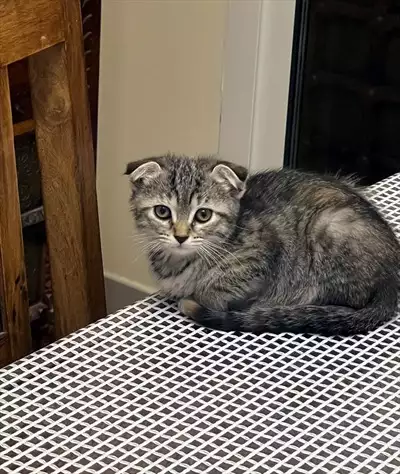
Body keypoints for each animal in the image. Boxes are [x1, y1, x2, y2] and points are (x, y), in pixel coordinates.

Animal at [126, 154, 400, 336]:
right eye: (162, 211)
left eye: (203, 215)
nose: (181, 236)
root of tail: (391, 278)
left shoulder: (262, 255)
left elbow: (214, 291)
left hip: (330, 227)